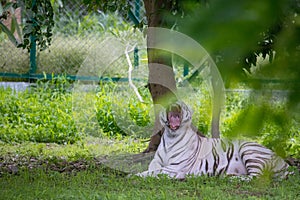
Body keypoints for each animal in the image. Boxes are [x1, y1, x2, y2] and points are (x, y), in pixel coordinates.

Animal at [137, 101, 292, 179]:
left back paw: (229, 178)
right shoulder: (157, 162)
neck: (171, 136)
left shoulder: (174, 167)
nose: (174, 104)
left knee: (255, 177)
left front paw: (134, 176)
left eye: (182, 104)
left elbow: (150, 172)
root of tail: (283, 162)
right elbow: (152, 169)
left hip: (249, 150)